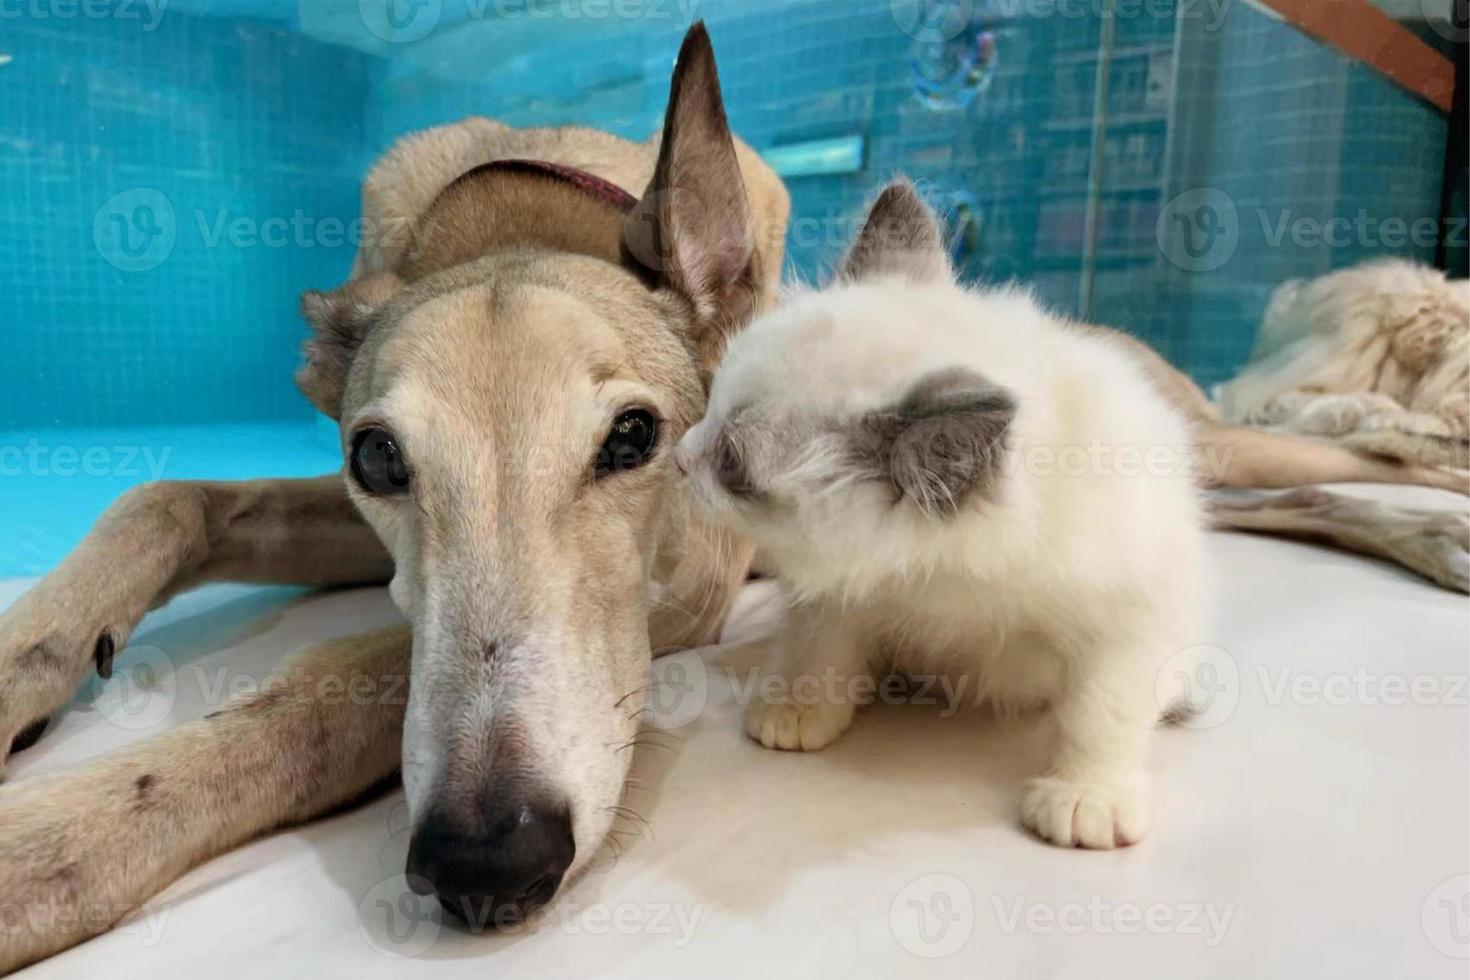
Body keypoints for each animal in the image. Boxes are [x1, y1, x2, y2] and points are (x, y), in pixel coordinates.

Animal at [676, 185, 1205, 852]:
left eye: (732, 463)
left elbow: (1100, 712)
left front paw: (1086, 795)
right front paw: (801, 705)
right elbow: (822, 646)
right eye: (709, 405)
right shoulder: (839, 592)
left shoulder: (1132, 617)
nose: (678, 457)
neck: (943, 577)